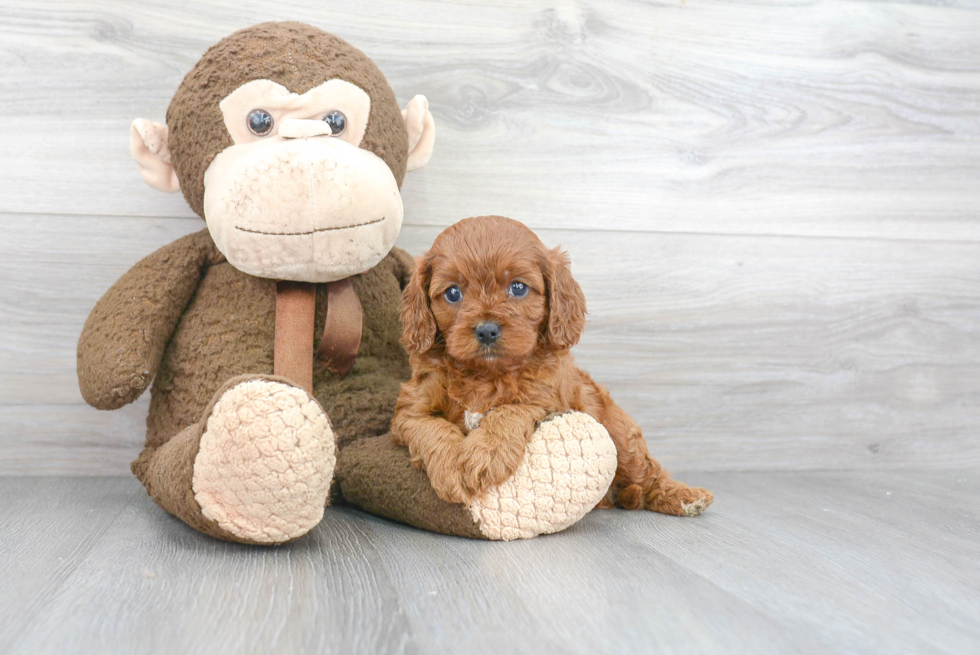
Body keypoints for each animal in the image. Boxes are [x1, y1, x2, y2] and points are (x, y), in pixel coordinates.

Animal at [388, 217, 712, 516]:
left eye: (518, 288)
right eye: (453, 293)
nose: (487, 330)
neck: (486, 373)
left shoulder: (546, 400)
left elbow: (508, 411)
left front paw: (485, 455)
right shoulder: (410, 410)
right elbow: (432, 428)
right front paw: (450, 469)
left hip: (621, 435)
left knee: (648, 476)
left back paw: (685, 497)